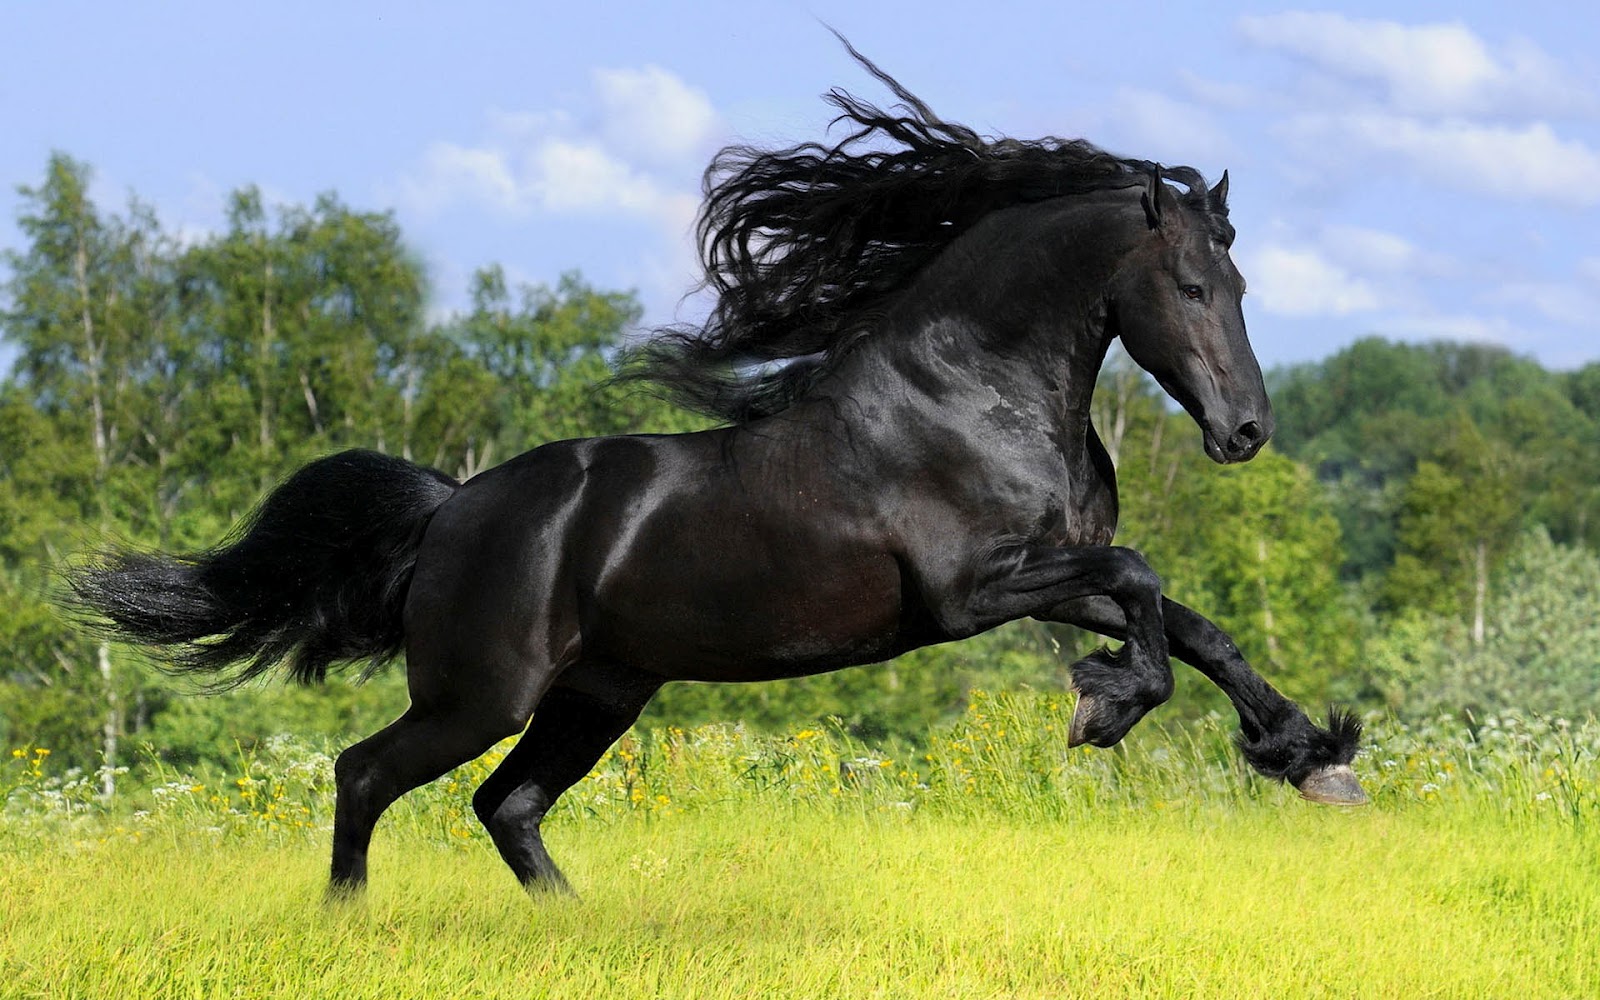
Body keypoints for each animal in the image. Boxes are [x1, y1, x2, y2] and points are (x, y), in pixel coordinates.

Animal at [70, 45, 1365, 897]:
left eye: (1240, 283)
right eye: (1190, 284)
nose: (1244, 431)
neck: (970, 393)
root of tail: (449, 510)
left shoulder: (1048, 569)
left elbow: (1195, 625)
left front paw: (1310, 758)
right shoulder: (971, 593)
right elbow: (1145, 583)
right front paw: (1106, 706)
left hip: (598, 693)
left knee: (506, 805)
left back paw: (575, 929)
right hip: (481, 693)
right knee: (364, 773)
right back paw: (349, 922)